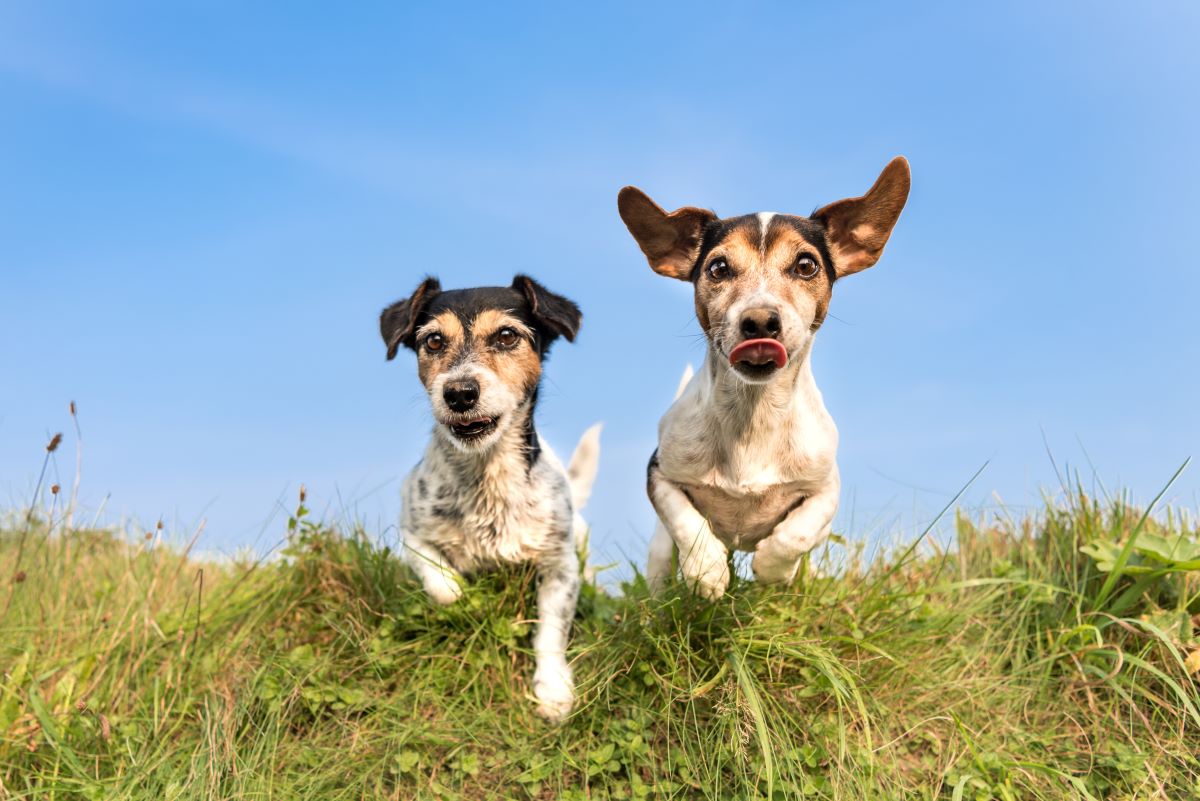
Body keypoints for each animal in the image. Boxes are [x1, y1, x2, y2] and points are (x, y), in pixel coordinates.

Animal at [376, 273, 597, 719]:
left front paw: (553, 690)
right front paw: (462, 594)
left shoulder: (560, 566)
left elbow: (551, 631)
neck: (487, 475)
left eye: (507, 336)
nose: (460, 392)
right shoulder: (412, 531)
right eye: (434, 341)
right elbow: (441, 582)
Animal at [619, 155, 907, 597]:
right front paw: (706, 570)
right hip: (658, 550)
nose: (759, 321)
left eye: (806, 265)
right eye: (718, 267)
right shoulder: (660, 475)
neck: (754, 416)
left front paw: (772, 569)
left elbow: (795, 535)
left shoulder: (825, 489)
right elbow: (686, 521)